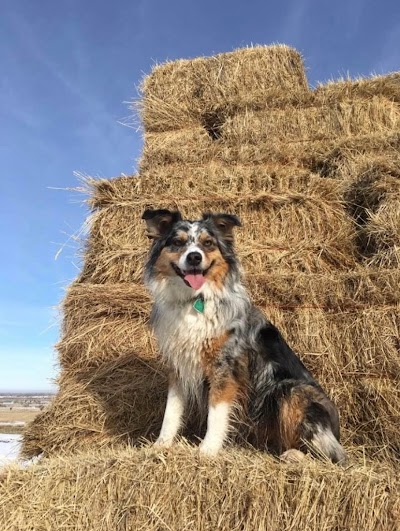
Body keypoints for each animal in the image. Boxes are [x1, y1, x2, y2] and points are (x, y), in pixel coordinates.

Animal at [142, 208, 346, 462]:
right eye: (178, 242)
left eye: (207, 243)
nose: (194, 257)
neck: (194, 301)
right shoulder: (179, 364)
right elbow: (171, 411)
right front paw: (160, 445)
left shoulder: (225, 366)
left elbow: (216, 413)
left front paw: (207, 450)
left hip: (291, 389)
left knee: (334, 455)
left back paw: (295, 455)